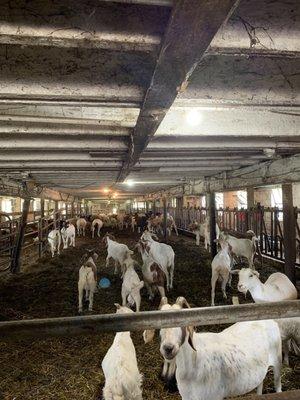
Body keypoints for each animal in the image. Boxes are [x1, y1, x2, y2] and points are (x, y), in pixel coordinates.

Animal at [144, 296, 282, 400]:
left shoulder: (214, 396)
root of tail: (270, 321)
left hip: (277, 361)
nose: (168, 348)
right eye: (159, 324)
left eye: (183, 323)